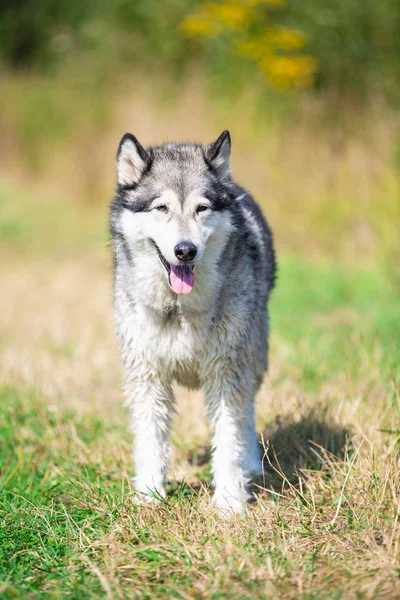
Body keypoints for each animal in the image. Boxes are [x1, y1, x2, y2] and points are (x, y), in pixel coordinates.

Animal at [111, 130, 276, 510]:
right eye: (162, 208)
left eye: (202, 208)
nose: (185, 250)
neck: (179, 310)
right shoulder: (147, 374)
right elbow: (150, 440)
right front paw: (149, 496)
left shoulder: (226, 371)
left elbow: (229, 438)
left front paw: (230, 503)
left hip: (253, 356)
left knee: (248, 410)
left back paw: (251, 465)